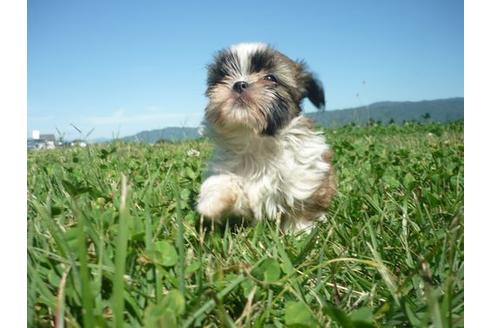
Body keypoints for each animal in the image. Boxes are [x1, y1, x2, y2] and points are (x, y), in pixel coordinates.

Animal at [198, 43, 336, 233]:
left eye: (270, 78)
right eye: (223, 76)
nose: (239, 84)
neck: (256, 141)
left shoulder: (306, 173)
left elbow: (301, 205)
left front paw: (299, 232)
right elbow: (225, 183)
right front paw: (212, 200)